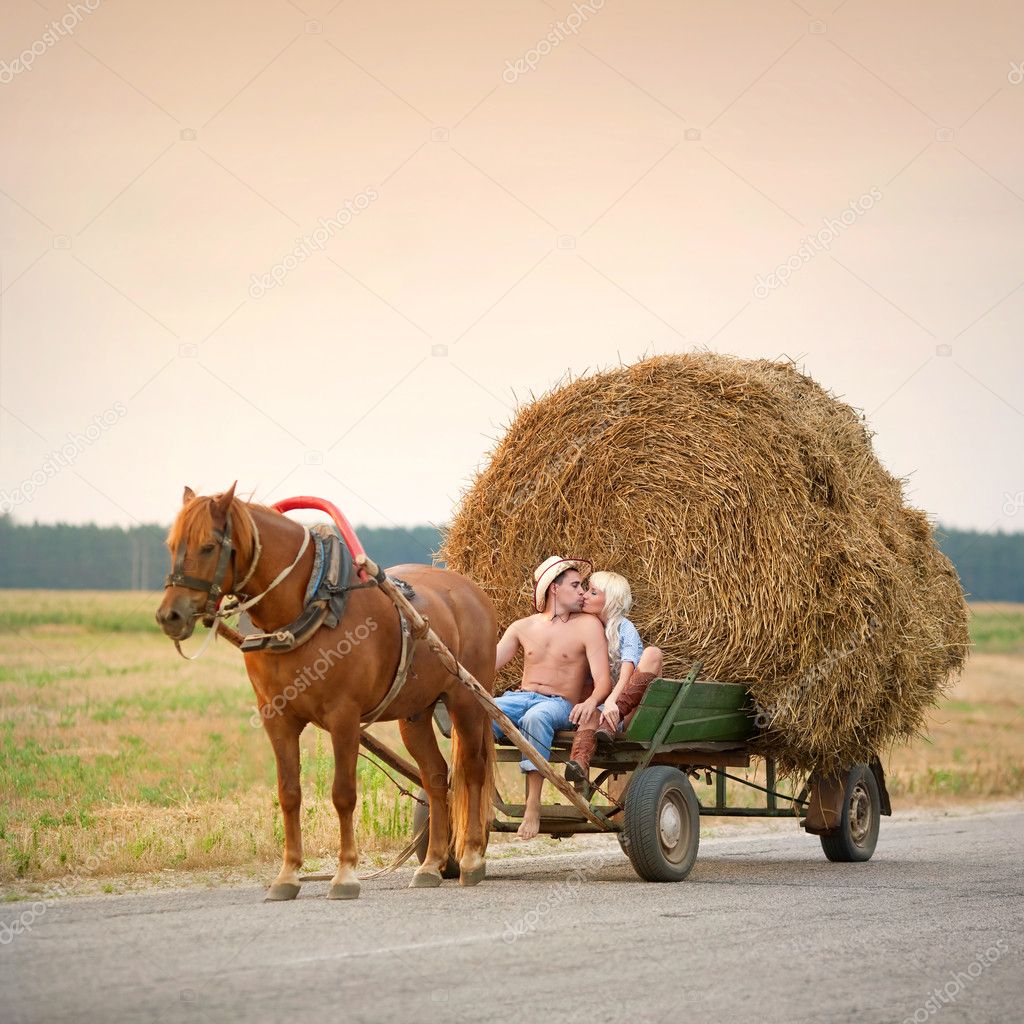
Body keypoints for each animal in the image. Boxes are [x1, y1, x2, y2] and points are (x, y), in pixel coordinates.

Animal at [153, 483, 497, 901]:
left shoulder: (344, 717)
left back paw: (472, 857)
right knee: (435, 777)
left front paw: (345, 874)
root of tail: (470, 589)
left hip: (467, 701)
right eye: (172, 545)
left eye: (207, 546)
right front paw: (287, 875)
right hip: (415, 712)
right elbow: (289, 794)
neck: (307, 608)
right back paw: (432, 863)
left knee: (473, 772)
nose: (170, 616)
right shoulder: (277, 718)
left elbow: (343, 793)